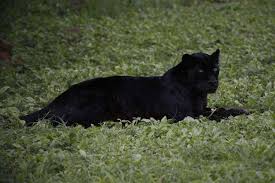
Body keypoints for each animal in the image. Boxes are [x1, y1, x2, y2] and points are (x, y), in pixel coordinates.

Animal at [20, 49, 249, 128]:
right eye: (201, 70)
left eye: (215, 69)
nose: (213, 82)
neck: (196, 93)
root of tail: (56, 100)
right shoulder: (184, 115)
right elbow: (216, 113)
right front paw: (242, 113)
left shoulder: (200, 109)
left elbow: (220, 108)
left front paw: (243, 110)